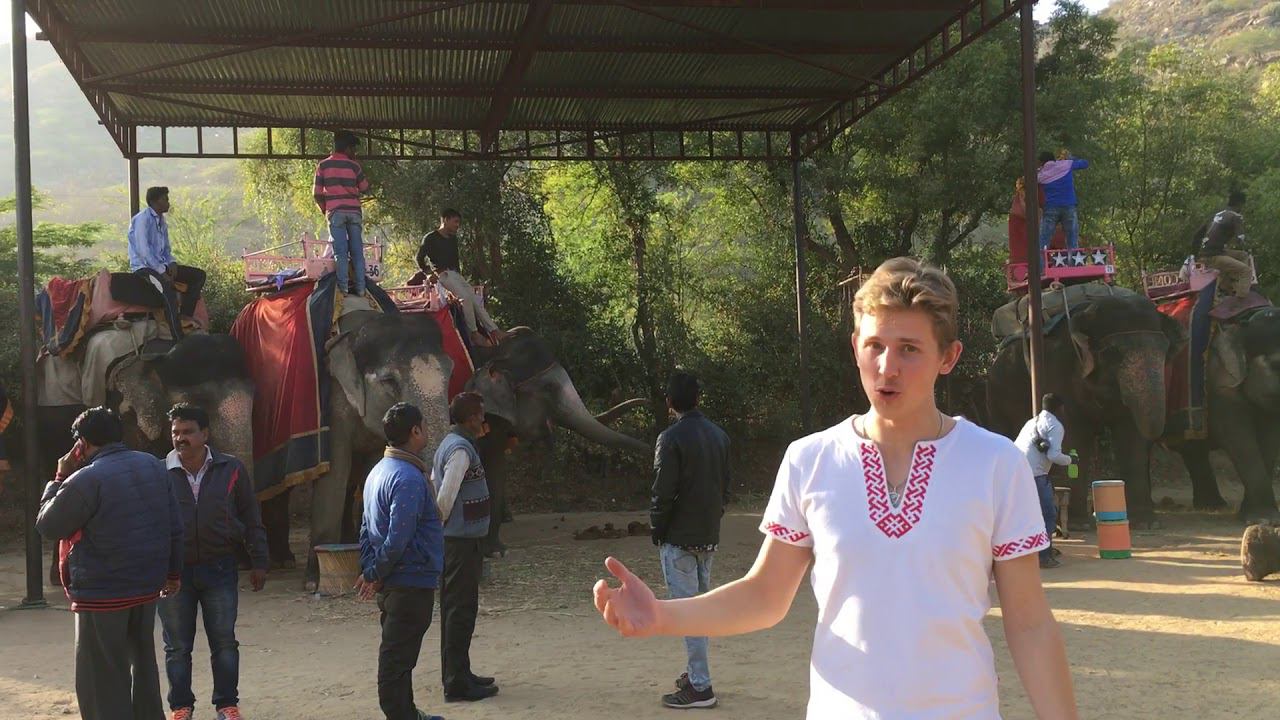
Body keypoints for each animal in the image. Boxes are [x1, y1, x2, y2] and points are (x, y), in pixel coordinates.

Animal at [465, 327, 651, 556]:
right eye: (550, 387)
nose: (649, 402)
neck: (498, 353)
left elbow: (496, 465)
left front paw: (495, 550)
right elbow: (491, 465)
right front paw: (492, 552)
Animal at [986, 293, 1184, 528]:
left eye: (1165, 351)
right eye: (1112, 353)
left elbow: (1131, 433)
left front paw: (1146, 523)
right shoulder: (1058, 368)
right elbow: (1074, 434)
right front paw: (1079, 524)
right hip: (999, 394)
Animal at [1164, 307, 1280, 523]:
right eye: (1277, 365)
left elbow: (1269, 442)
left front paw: (1252, 516)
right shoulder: (1220, 383)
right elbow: (1238, 439)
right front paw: (1263, 521)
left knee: (1193, 449)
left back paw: (1212, 505)